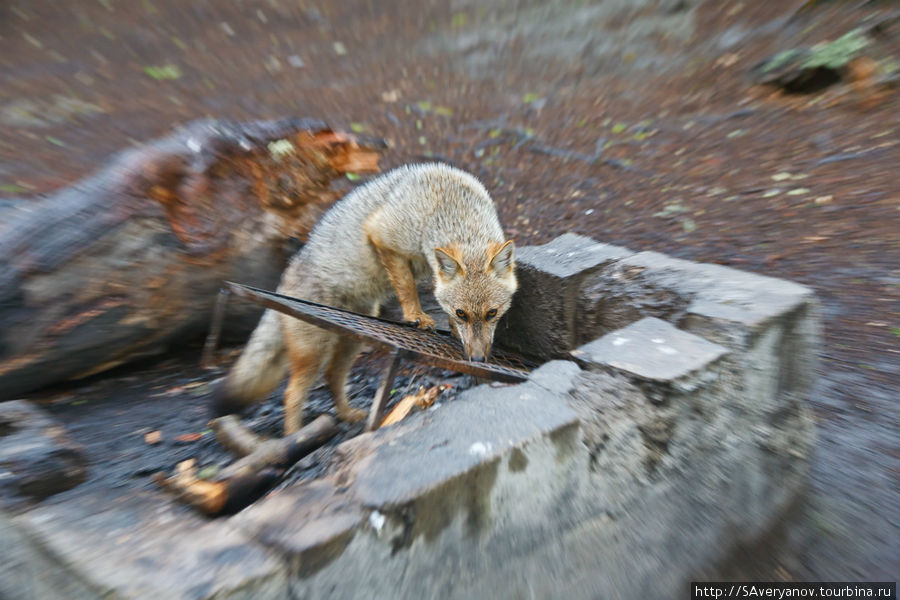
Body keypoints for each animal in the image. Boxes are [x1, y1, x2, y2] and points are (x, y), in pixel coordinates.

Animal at [211, 164, 516, 434]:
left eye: (491, 313)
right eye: (462, 313)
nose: (477, 359)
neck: (448, 201)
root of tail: (288, 271)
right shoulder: (383, 236)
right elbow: (407, 286)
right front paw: (415, 315)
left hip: (351, 341)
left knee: (332, 377)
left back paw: (347, 414)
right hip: (314, 352)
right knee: (292, 393)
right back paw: (294, 437)